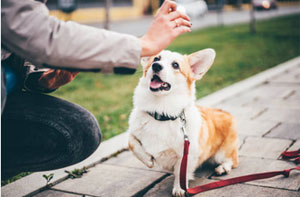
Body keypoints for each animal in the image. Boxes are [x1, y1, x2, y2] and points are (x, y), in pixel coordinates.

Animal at [127, 48, 238, 196]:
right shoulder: (133, 133)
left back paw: (223, 168)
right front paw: (148, 160)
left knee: (232, 160)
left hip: (222, 153)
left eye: (175, 65)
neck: (161, 112)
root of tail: (225, 112)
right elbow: (132, 143)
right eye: (156, 59)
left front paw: (179, 189)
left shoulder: (187, 154)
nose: (156, 66)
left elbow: (181, 172)